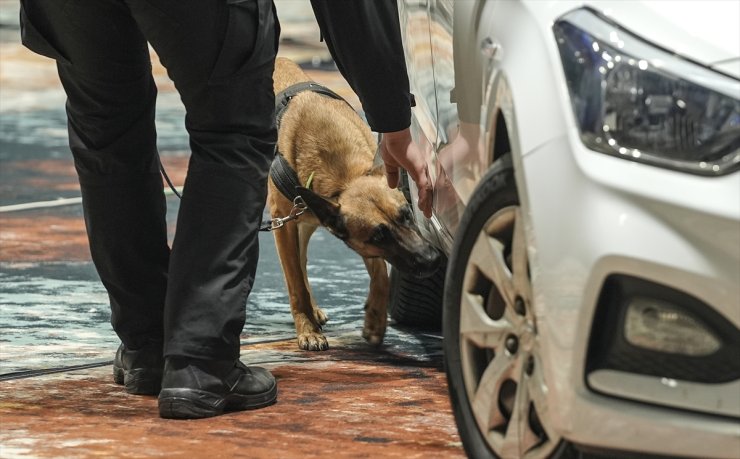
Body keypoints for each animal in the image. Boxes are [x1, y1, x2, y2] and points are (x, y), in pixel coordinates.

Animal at [266, 58, 440, 352]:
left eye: (407, 215)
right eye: (379, 236)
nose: (432, 260)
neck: (343, 176)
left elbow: (380, 273)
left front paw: (376, 318)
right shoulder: (282, 224)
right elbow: (295, 284)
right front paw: (307, 329)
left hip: (304, 221)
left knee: (301, 260)